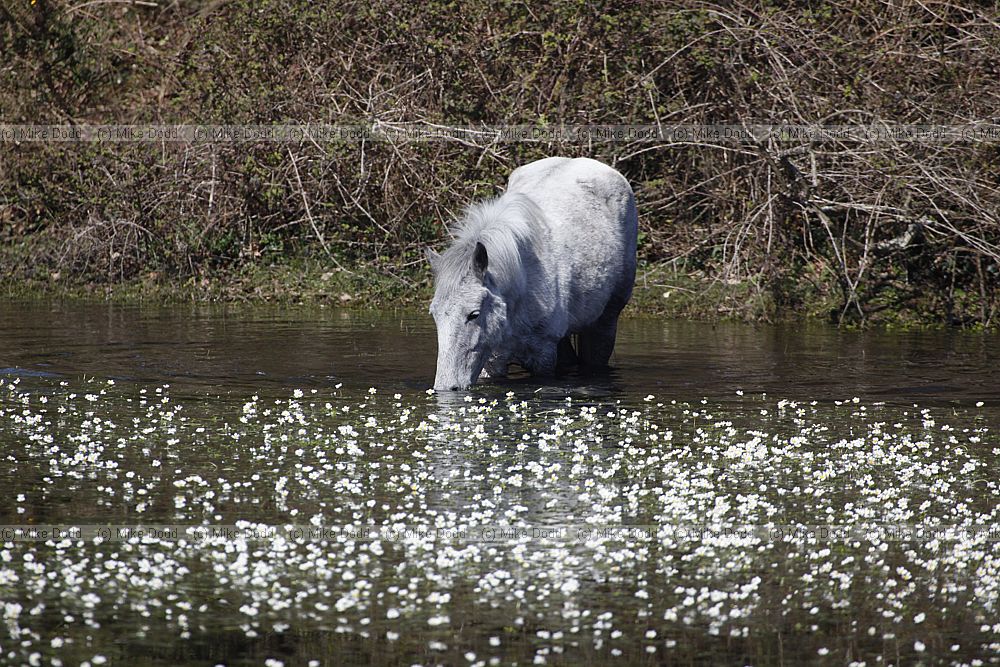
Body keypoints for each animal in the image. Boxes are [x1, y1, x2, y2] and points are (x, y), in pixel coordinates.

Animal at [426, 156, 638, 391]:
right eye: (434, 314)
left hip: (605, 322)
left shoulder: (543, 356)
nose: (447, 387)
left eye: (474, 314)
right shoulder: (492, 361)